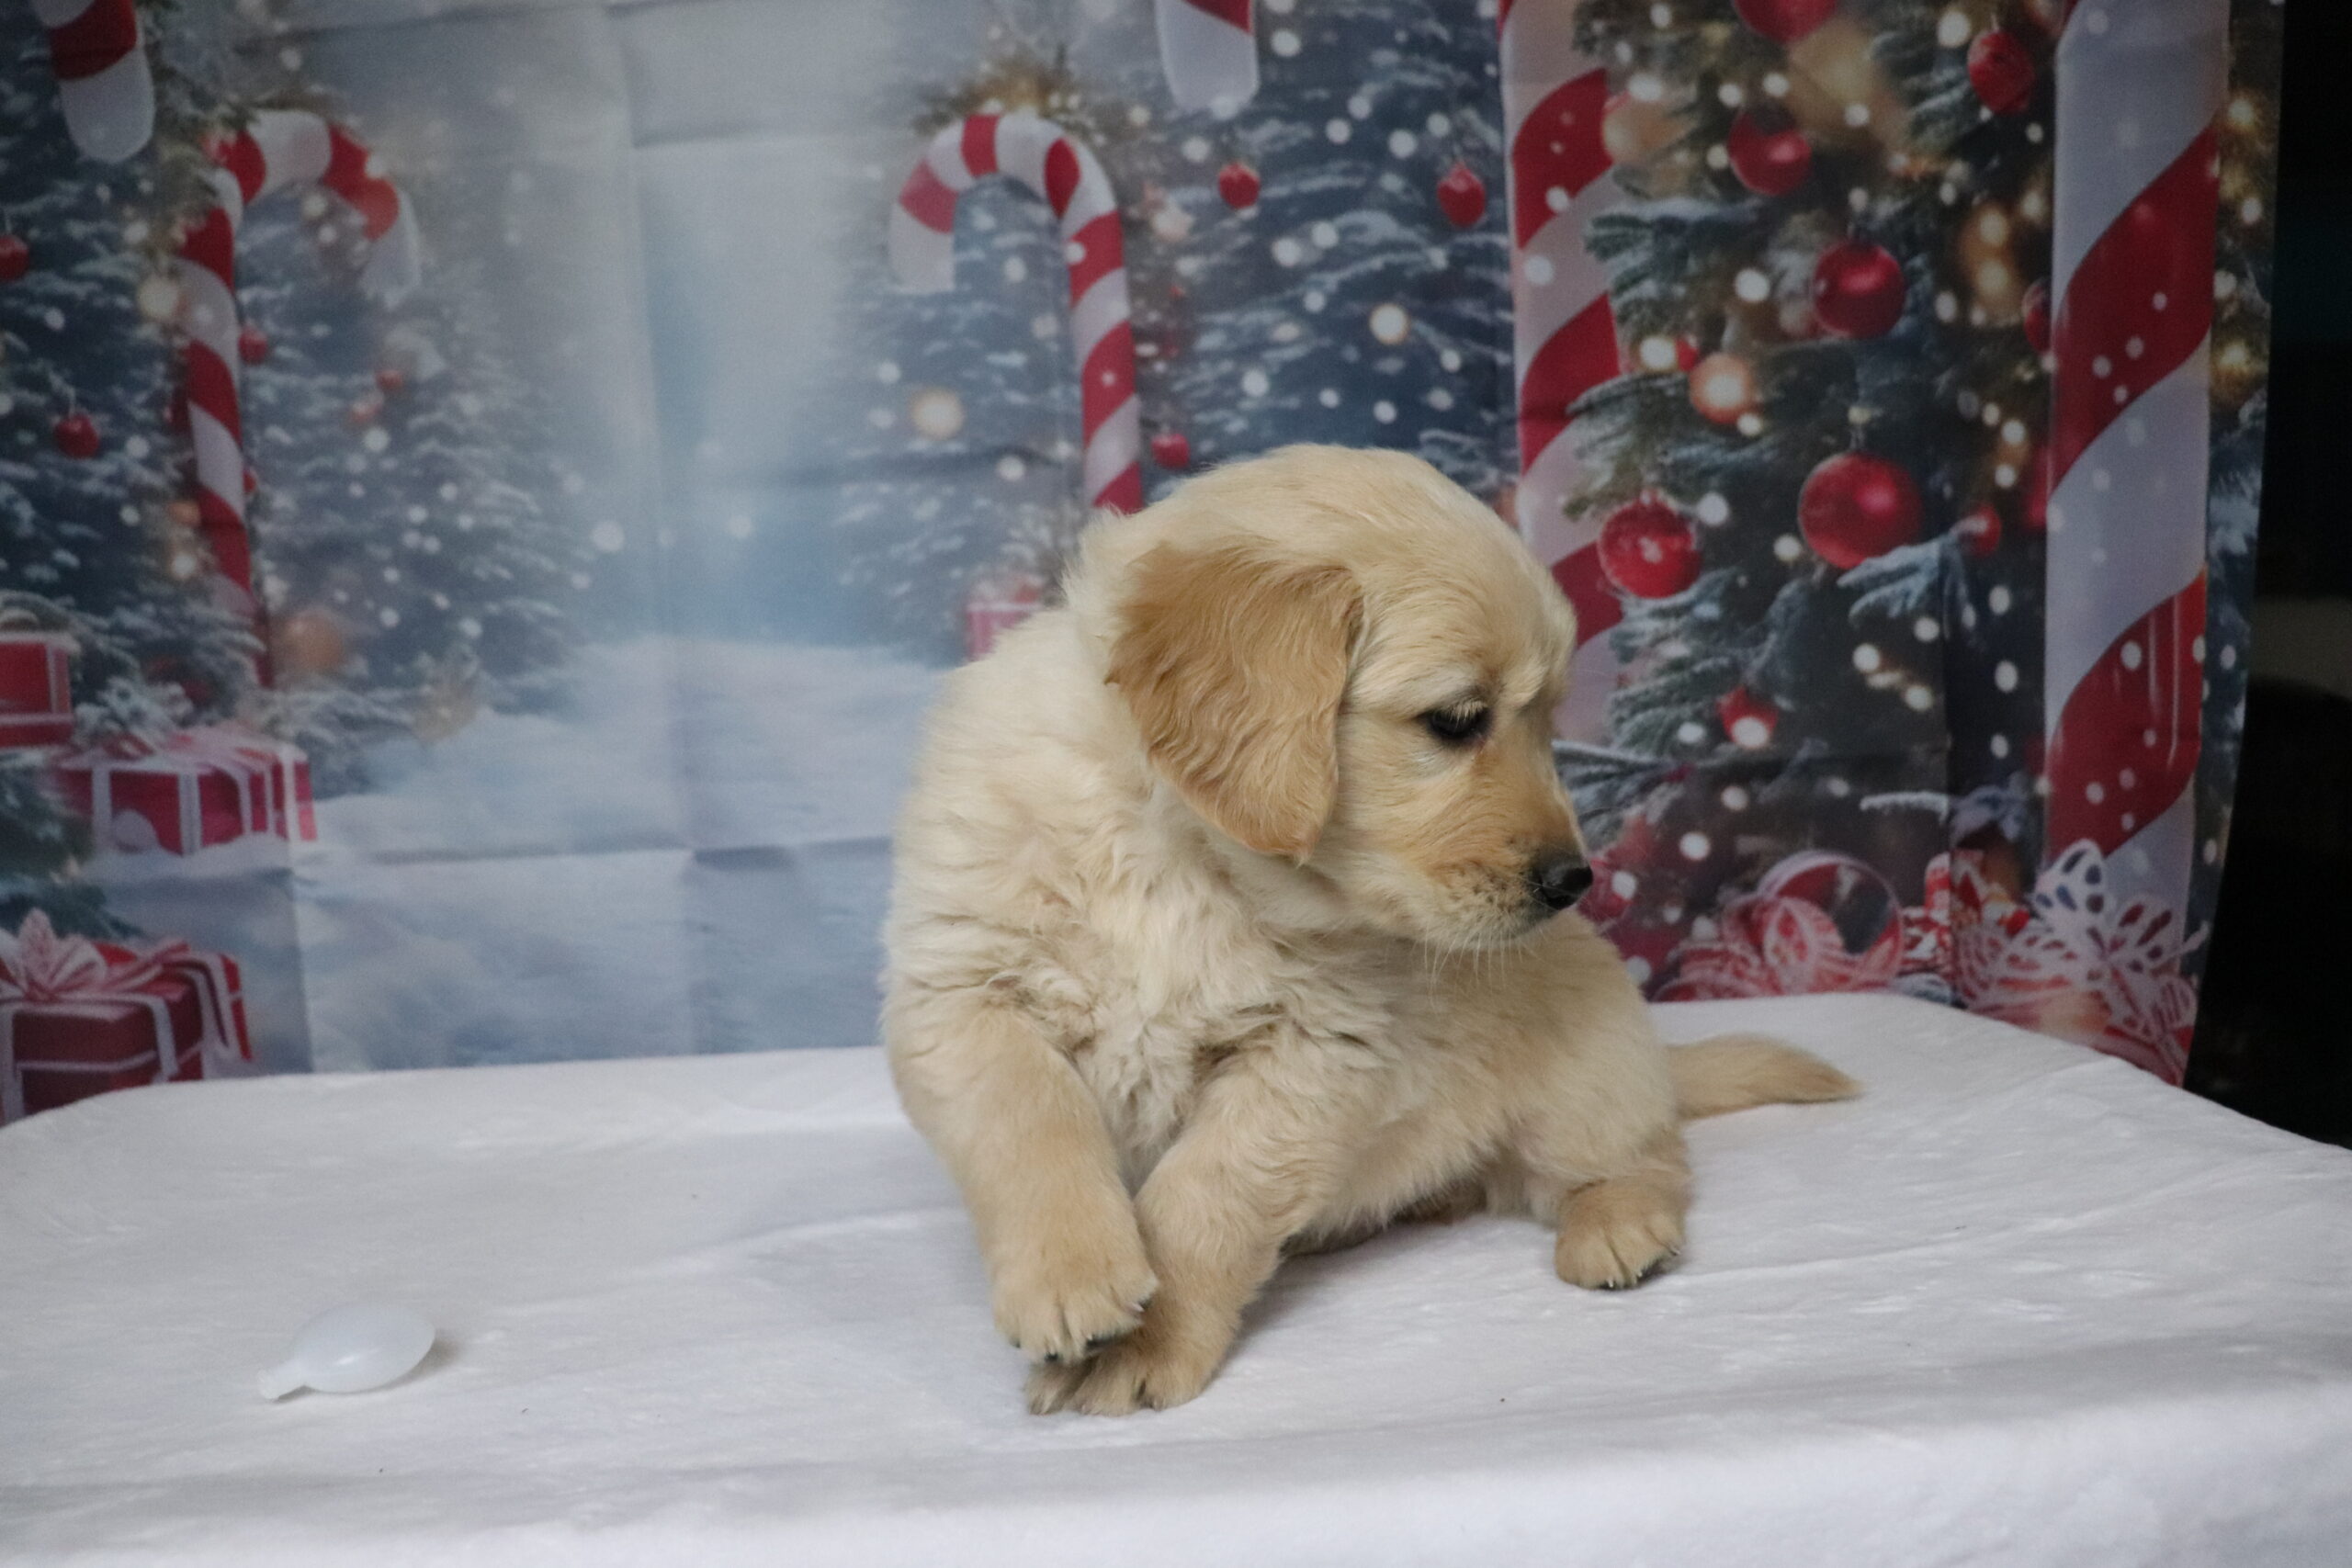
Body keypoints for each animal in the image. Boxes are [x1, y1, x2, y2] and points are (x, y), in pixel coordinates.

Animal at [883, 445, 1857, 1416]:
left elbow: (1206, 1196)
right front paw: (1072, 1277)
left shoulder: (1314, 1051)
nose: (1572, 881)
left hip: (1588, 1076)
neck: (1184, 853)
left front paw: (1144, 1343)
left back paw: (1620, 1222)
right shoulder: (960, 990)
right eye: (1457, 719)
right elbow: (1028, 1119)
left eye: (1548, 720)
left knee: (1646, 1156)